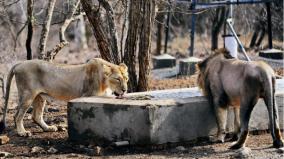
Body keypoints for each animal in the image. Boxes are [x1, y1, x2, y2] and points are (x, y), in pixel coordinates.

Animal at [0, 58, 129, 137]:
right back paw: (22, 132)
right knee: (17, 115)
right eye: (117, 79)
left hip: (39, 96)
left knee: (36, 115)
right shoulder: (89, 95)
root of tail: (19, 63)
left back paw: (48, 128)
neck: (105, 81)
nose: (125, 90)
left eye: (126, 78)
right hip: (28, 94)